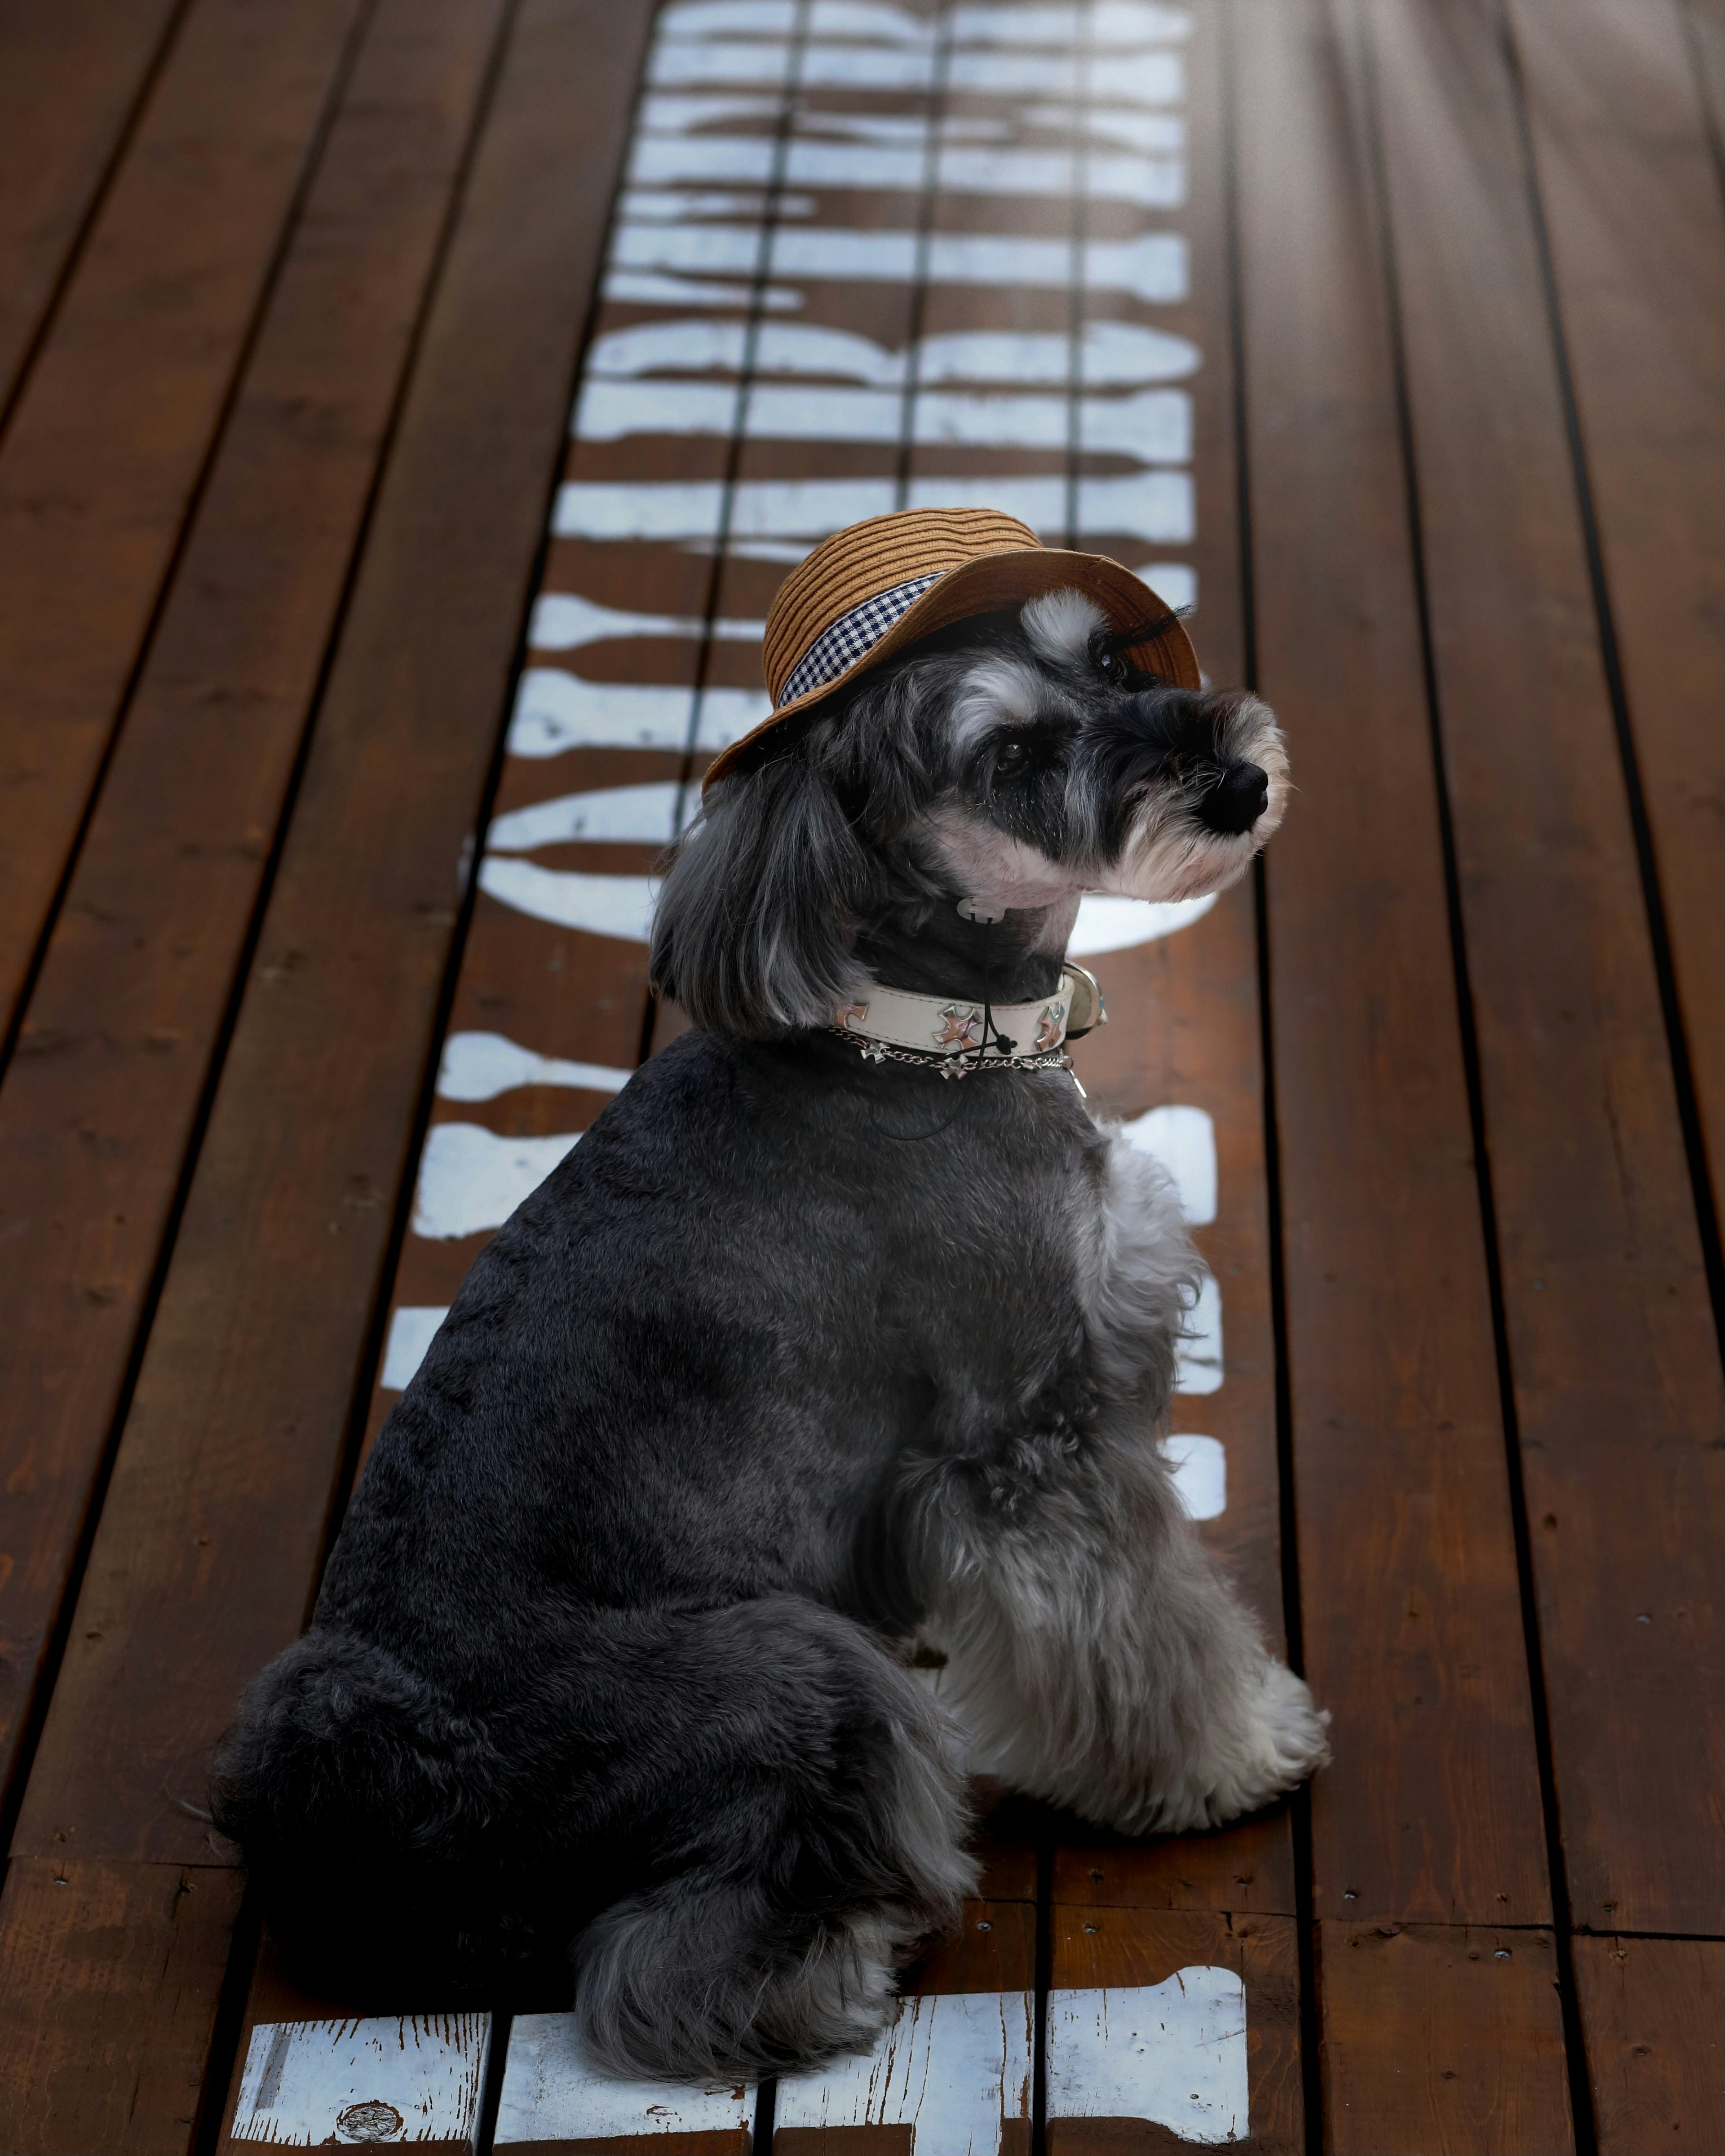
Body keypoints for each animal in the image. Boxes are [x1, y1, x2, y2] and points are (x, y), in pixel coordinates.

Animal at [209, 565, 1328, 2078]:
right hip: (802, 1668)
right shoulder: (1041, 1433)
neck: (916, 1026)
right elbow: (1147, 1630)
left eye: (1104, 660)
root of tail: (383, 1831)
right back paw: (852, 1954)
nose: (1233, 780)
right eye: (1009, 754)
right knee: (673, 1964)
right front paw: (1234, 1751)